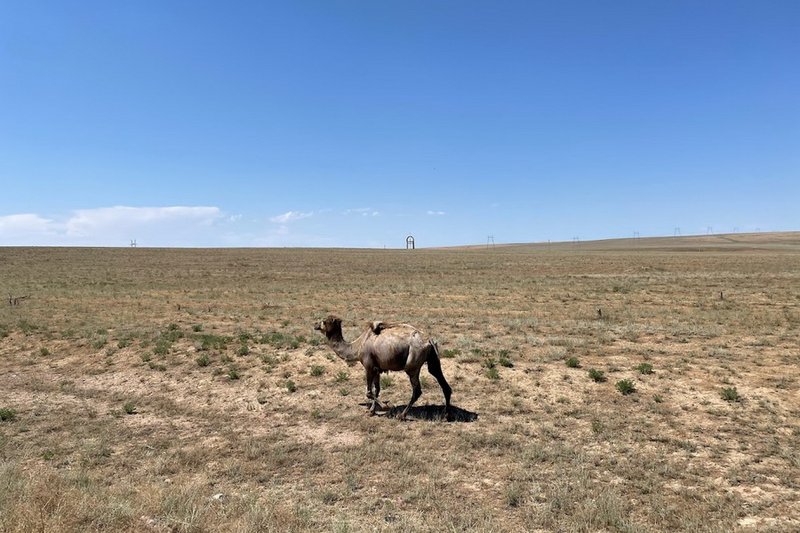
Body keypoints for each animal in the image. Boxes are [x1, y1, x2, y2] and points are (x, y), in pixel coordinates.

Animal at [314, 314, 454, 422]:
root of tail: (429, 340)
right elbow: (377, 389)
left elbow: (369, 392)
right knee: (443, 383)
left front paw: (385, 407)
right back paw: (447, 415)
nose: (315, 325)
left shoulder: (369, 366)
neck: (357, 346)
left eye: (324, 321)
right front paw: (371, 411)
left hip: (412, 364)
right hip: (433, 360)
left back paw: (402, 415)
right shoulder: (377, 368)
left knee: (417, 390)